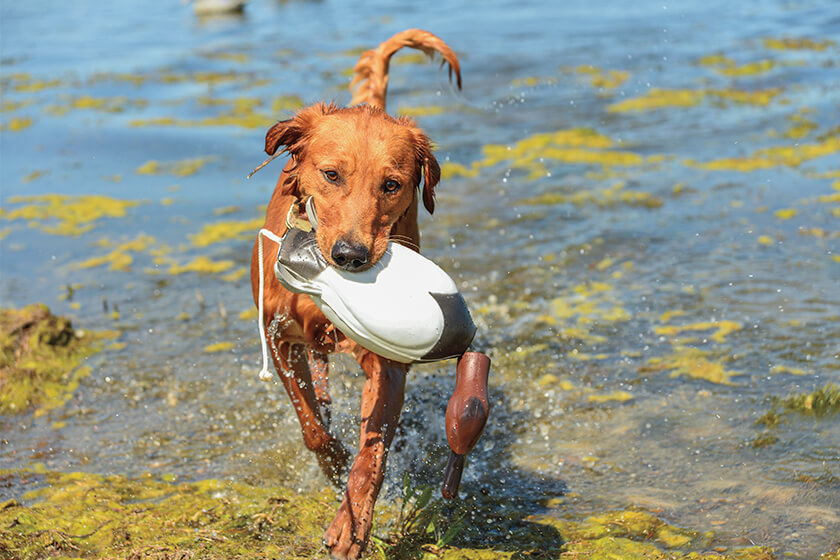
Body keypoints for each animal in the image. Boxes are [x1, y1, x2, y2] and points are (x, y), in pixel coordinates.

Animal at [251, 29, 460, 556]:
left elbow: (374, 451)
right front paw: (333, 462)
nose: (351, 255)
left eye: (392, 184)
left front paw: (353, 521)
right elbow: (310, 426)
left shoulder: (388, 363)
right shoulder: (279, 337)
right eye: (331, 175)